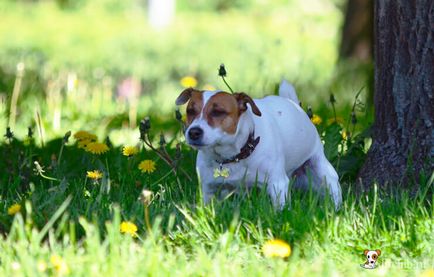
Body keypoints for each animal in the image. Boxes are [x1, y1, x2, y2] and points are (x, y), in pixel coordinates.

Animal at [175, 80, 342, 209]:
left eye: (218, 112)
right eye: (190, 111)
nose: (193, 132)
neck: (234, 156)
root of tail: (294, 104)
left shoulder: (277, 184)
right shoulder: (208, 188)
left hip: (321, 168)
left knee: (332, 185)